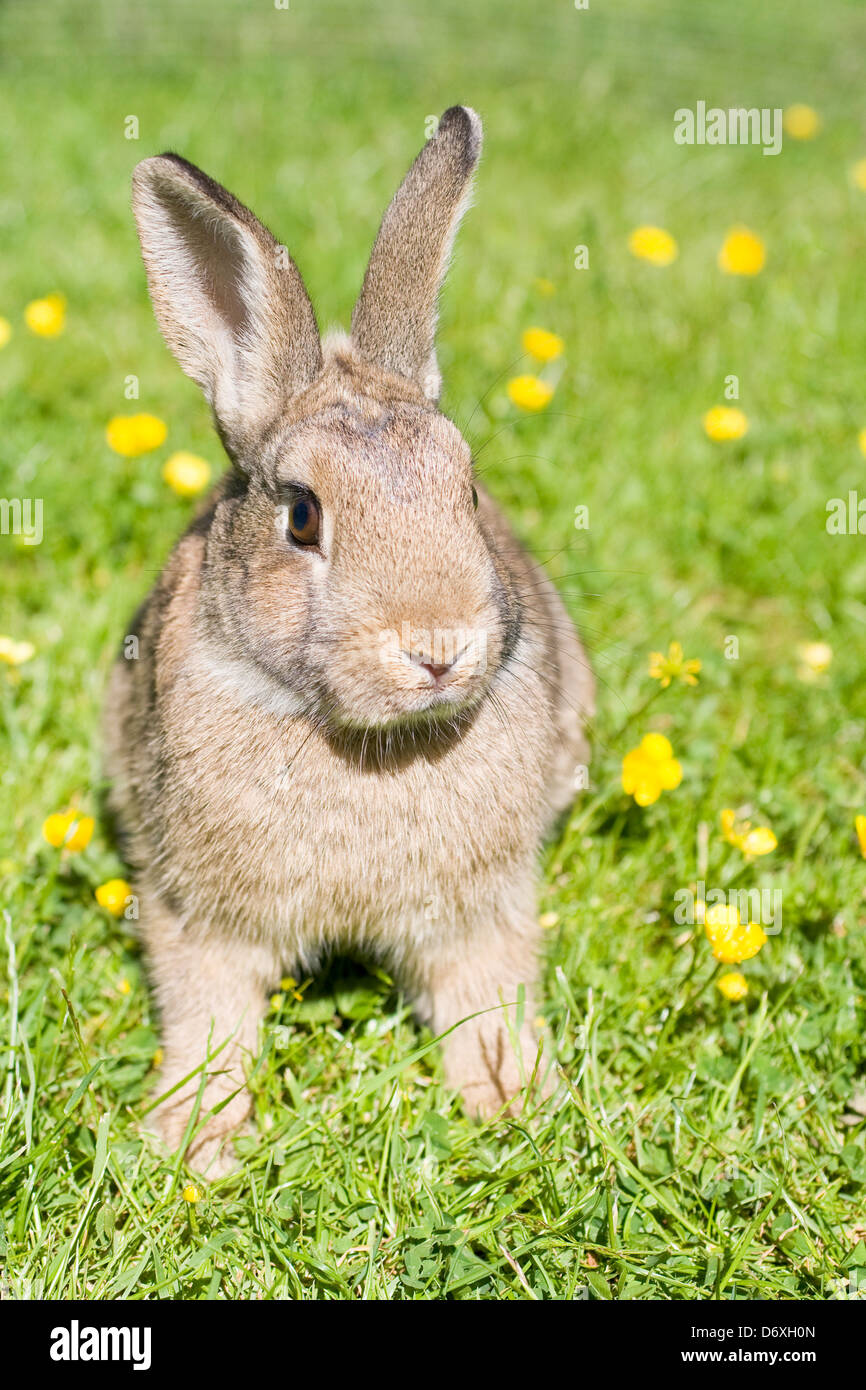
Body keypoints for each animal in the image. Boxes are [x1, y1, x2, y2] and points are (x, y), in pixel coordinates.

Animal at [105, 106, 595, 1176]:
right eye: (300, 516)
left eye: (469, 491)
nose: (439, 648)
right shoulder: (196, 913)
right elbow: (210, 1019)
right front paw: (194, 1140)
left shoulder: (479, 913)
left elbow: (485, 998)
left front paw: (512, 1101)